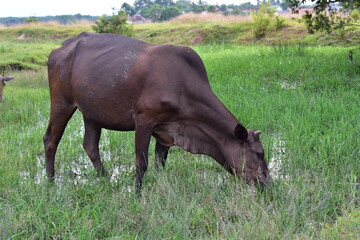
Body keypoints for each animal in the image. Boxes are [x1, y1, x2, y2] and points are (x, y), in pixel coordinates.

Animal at [43, 31, 268, 194]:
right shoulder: (144, 120)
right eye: (259, 154)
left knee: (90, 145)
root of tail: (63, 45)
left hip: (92, 112)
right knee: (50, 140)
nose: (267, 183)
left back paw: (106, 181)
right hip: (62, 102)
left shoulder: (168, 129)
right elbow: (141, 163)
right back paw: (51, 183)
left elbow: (161, 163)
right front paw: (137, 195)